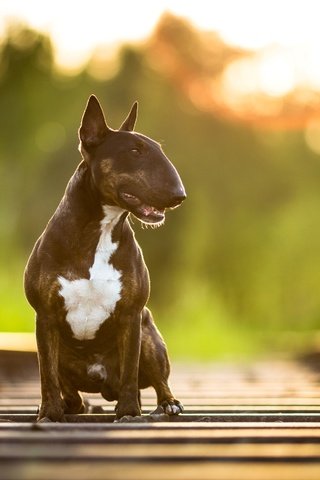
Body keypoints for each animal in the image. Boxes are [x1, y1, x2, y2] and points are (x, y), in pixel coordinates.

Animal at [23, 94, 186, 420]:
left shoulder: (131, 316)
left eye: (160, 151)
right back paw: (67, 405)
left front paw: (129, 412)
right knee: (69, 391)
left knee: (156, 380)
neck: (99, 232)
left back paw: (167, 404)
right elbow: (47, 373)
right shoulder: (44, 318)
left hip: (150, 336)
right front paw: (49, 412)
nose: (179, 195)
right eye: (134, 151)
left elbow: (130, 370)